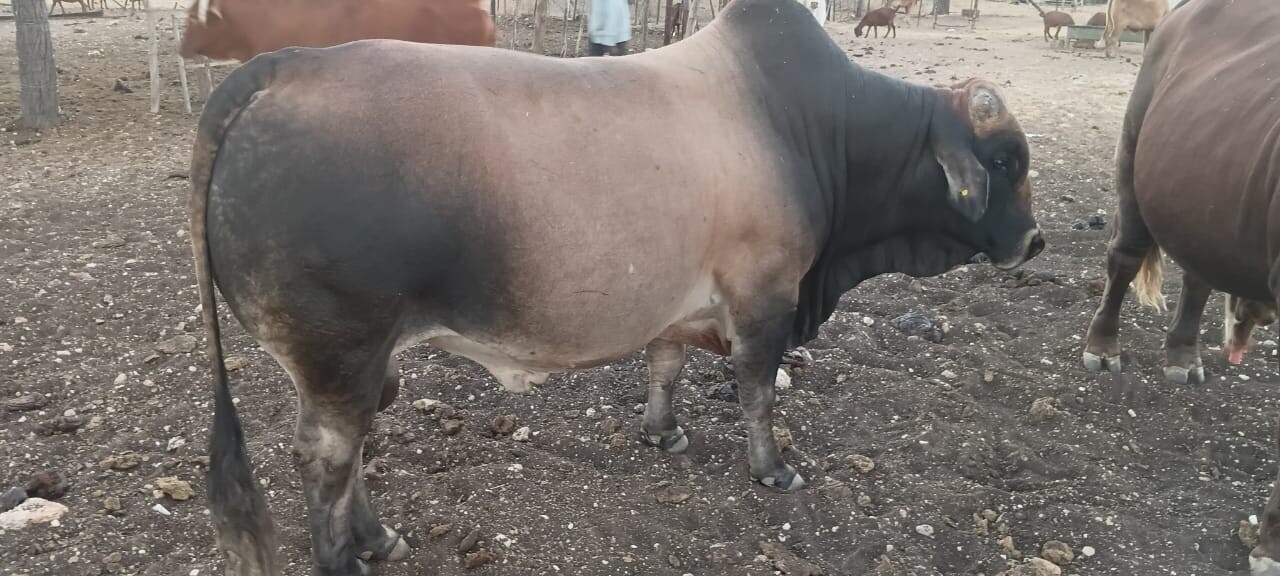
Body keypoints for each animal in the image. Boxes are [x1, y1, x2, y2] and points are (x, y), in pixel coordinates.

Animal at [188, 0, 1044, 572]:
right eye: (1003, 161)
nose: (1034, 241)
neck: (818, 131)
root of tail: (282, 64)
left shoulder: (676, 304)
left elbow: (665, 365)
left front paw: (661, 431)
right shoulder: (765, 297)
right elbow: (759, 394)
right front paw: (771, 470)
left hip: (360, 365)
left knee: (353, 449)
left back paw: (376, 538)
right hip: (340, 353)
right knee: (325, 459)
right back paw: (344, 554)